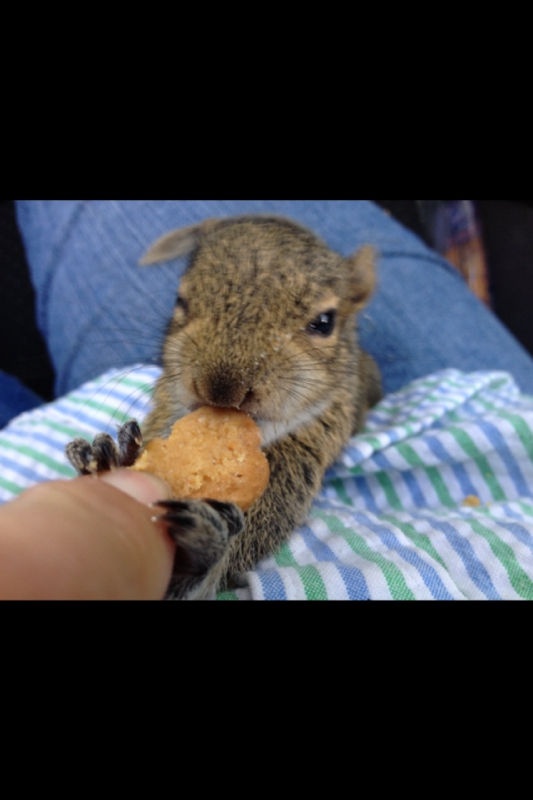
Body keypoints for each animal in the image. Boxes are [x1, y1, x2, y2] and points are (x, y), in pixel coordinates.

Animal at [66, 216, 380, 596]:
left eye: (325, 322)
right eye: (180, 301)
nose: (222, 388)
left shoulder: (290, 476)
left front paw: (197, 553)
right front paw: (112, 456)